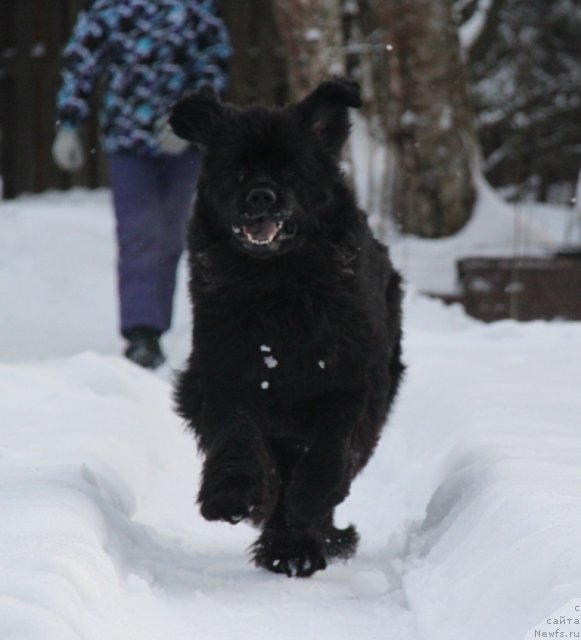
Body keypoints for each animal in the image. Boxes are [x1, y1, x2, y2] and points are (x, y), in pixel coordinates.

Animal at [169, 77, 404, 576]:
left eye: (291, 172)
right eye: (238, 171)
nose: (261, 195)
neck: (277, 286)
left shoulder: (348, 378)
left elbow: (330, 451)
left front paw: (308, 505)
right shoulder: (222, 370)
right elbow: (236, 431)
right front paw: (231, 494)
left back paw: (296, 546)